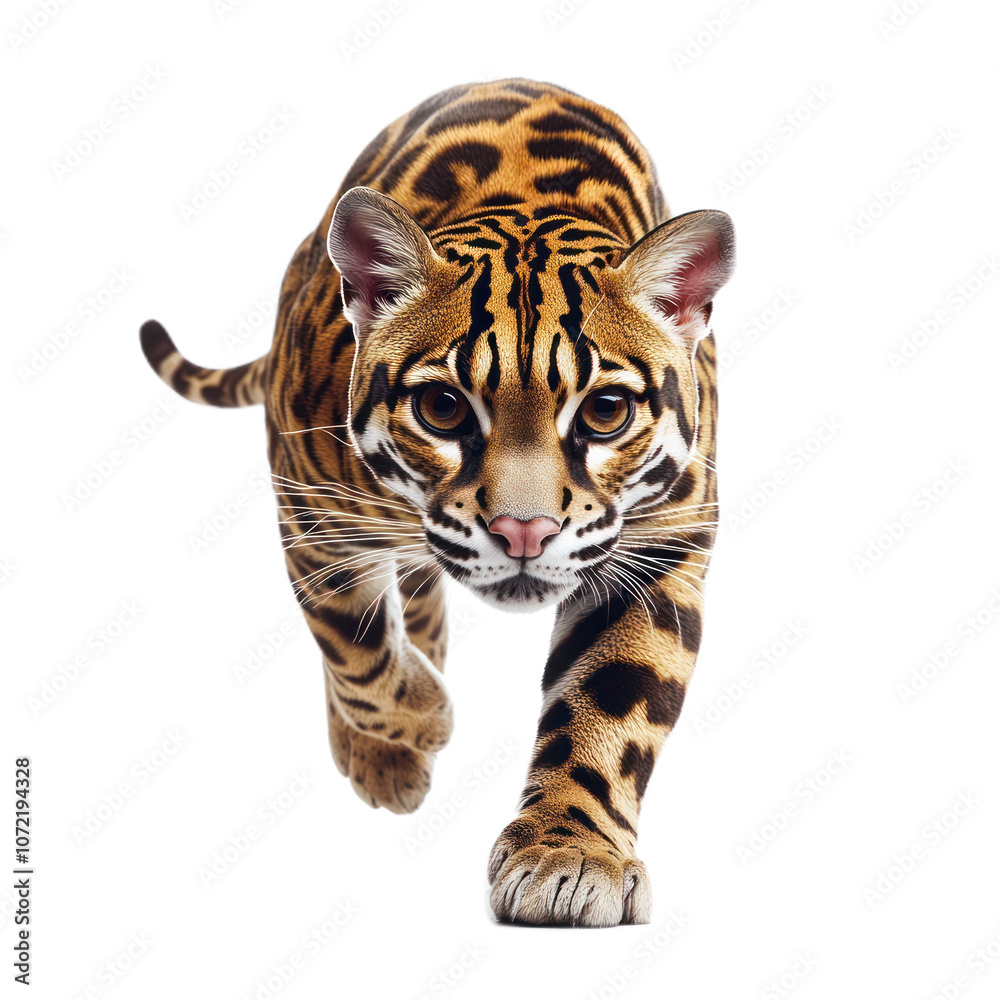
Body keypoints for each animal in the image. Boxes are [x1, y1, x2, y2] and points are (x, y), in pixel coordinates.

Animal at [140, 78, 734, 927]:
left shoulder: (661, 546)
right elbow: (356, 651)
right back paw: (386, 749)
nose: (524, 532)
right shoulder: (310, 516)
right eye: (444, 408)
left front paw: (570, 854)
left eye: (605, 411)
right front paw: (420, 721)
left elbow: (611, 703)